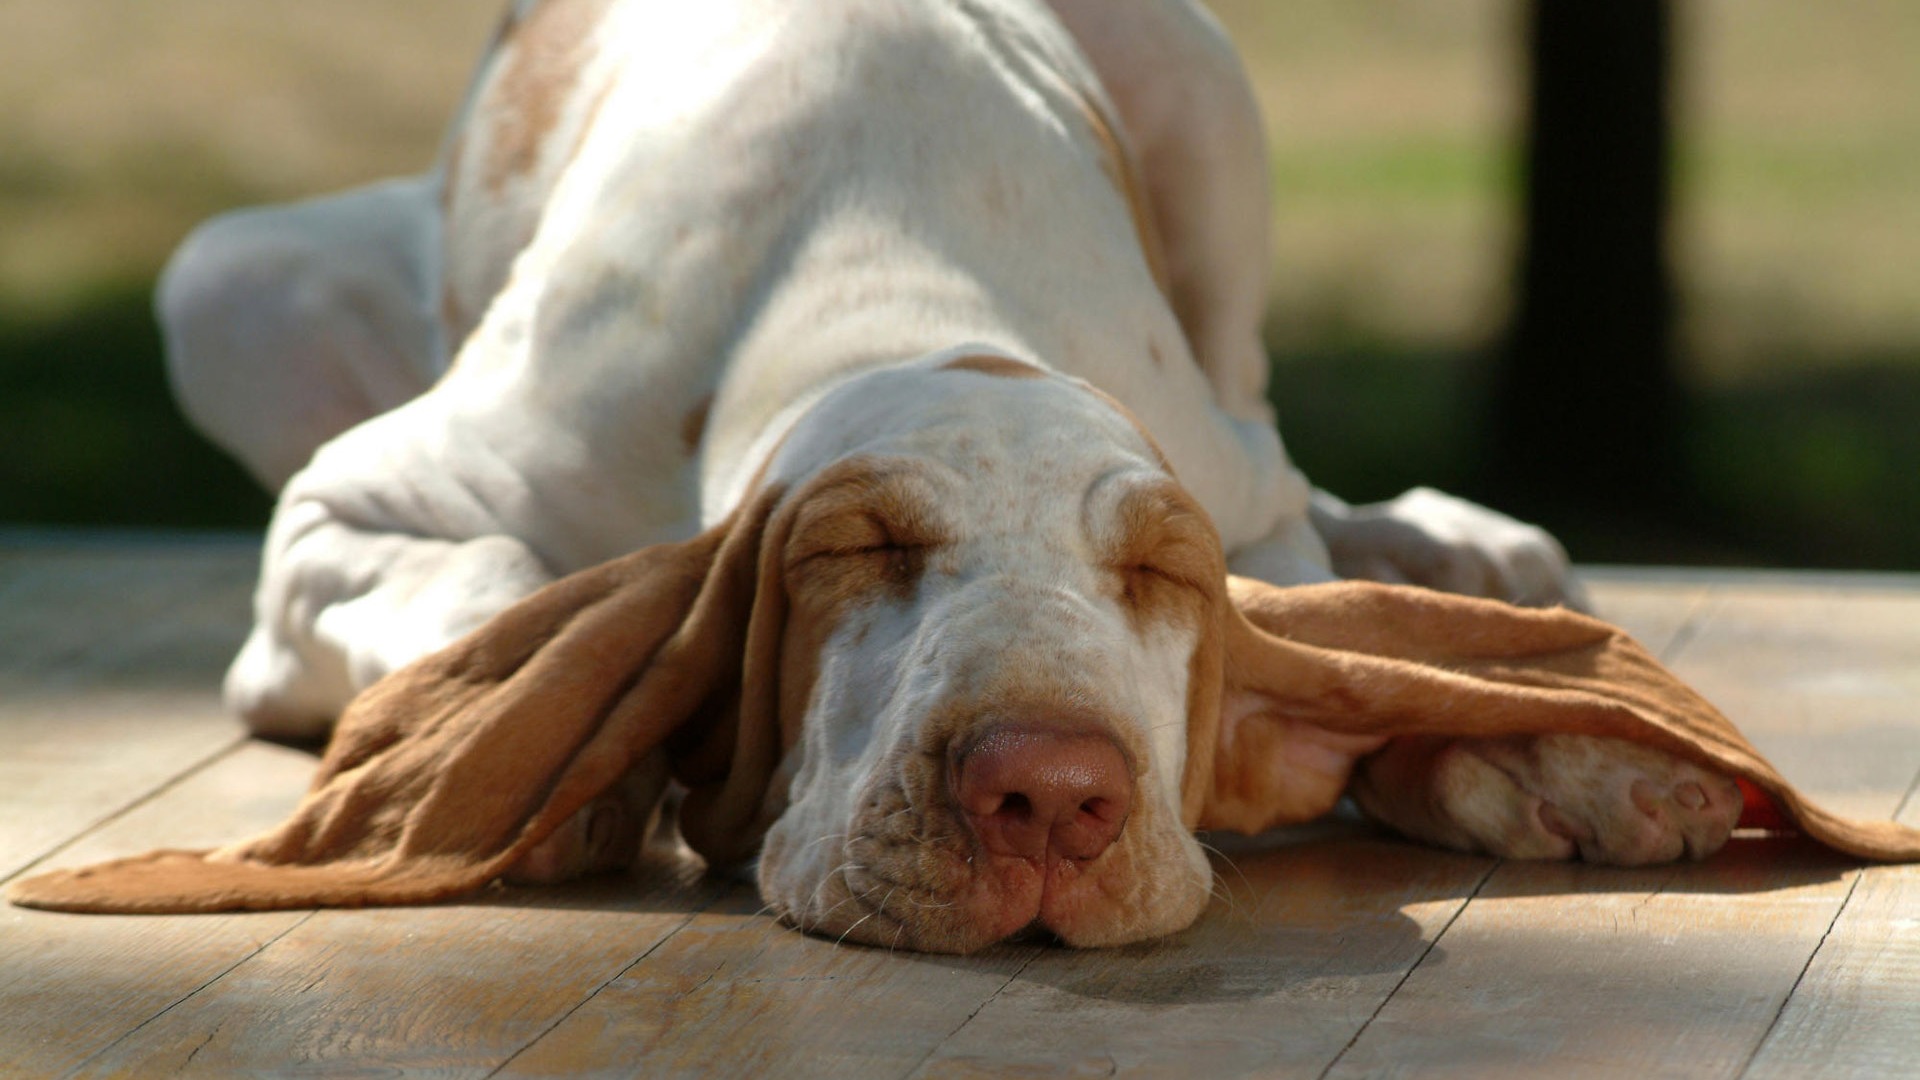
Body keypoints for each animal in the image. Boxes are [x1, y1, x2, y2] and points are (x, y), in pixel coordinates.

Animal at [149, 0, 1743, 945]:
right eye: (854, 555)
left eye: (1156, 572)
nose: (1050, 795)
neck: (889, 287)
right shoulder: (362, 501)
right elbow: (491, 578)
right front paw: (542, 762)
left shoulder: (1242, 514)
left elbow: (1342, 651)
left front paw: (1532, 748)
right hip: (226, 284)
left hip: (1201, 101)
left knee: (1277, 418)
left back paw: (1465, 566)